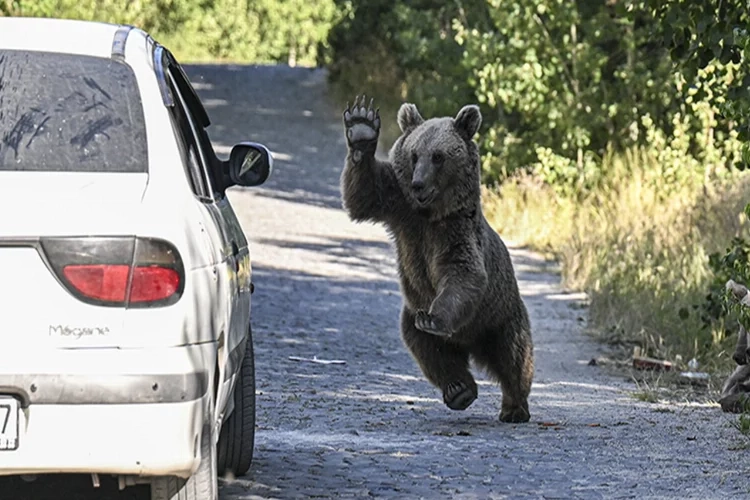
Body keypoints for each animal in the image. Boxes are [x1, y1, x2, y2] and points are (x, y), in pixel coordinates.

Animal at [340, 94, 536, 422]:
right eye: (414, 155)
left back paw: (514, 406)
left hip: (499, 315)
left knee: (514, 355)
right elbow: (364, 195)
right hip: (412, 313)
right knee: (428, 349)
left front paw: (435, 318)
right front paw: (362, 127)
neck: (430, 214)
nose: (418, 184)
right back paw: (459, 389)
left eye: (439, 156)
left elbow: (463, 273)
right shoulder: (399, 208)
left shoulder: (456, 233)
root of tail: (470, 343)